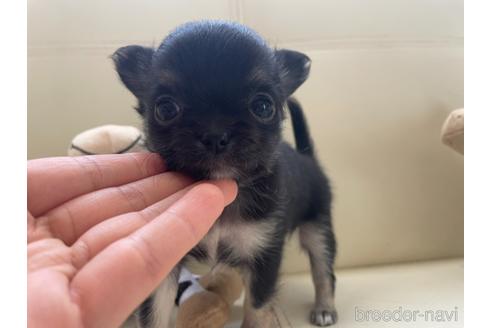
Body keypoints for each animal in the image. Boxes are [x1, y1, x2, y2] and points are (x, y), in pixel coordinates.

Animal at [113, 21, 336, 328]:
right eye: (166, 108)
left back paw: (324, 307)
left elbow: (257, 306)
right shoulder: (167, 264)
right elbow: (155, 315)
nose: (215, 133)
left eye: (263, 107)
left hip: (318, 227)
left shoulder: (263, 253)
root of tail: (307, 157)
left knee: (323, 267)